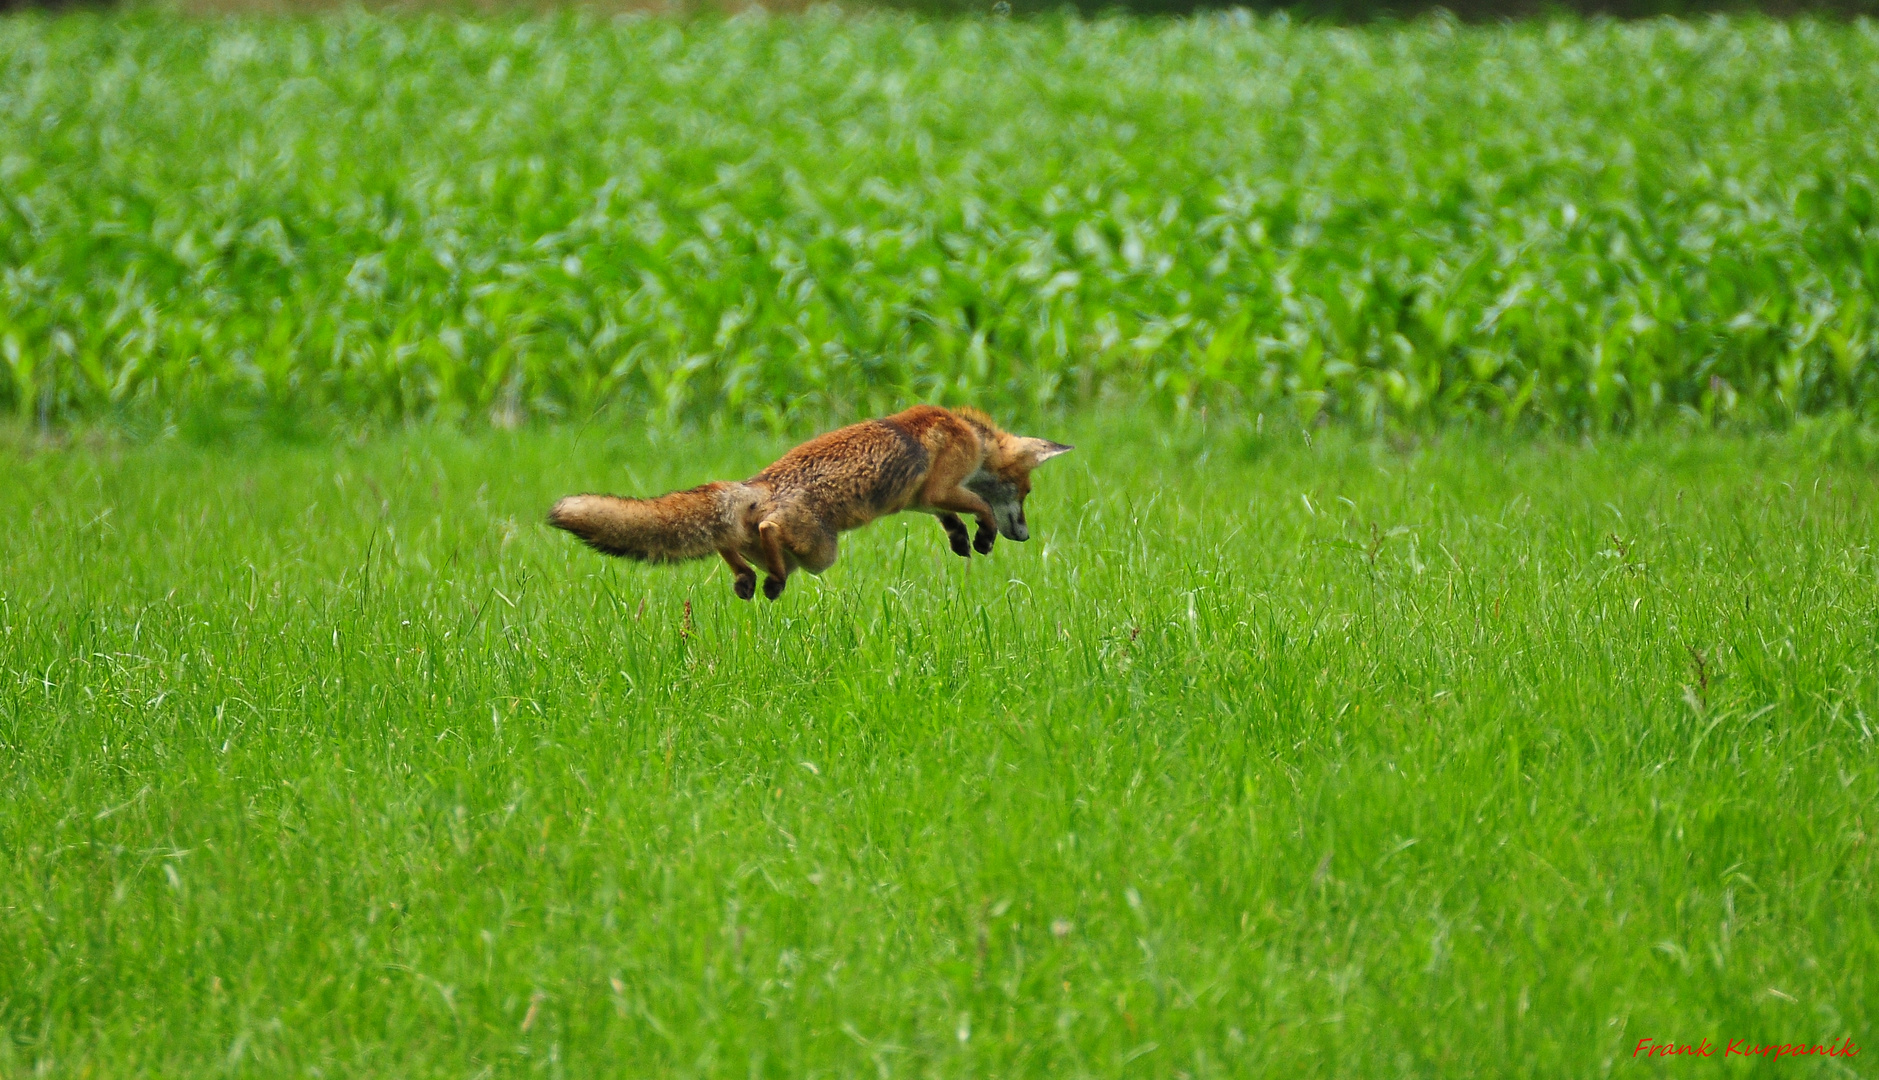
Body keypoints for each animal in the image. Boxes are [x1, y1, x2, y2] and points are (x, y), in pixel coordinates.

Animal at [544, 405, 1074, 601]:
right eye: (1026, 493)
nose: (1025, 535)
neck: (968, 434)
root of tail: (755, 485)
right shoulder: (940, 487)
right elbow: (978, 508)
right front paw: (983, 537)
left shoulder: (922, 500)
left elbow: (951, 518)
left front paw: (962, 541)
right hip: (821, 553)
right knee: (767, 532)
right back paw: (770, 581)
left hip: (797, 553)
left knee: (728, 544)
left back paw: (747, 579)